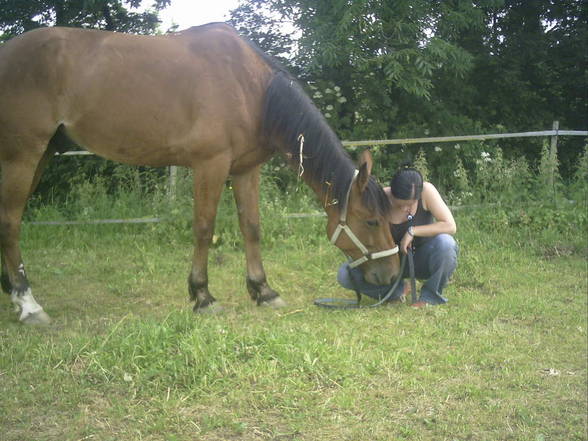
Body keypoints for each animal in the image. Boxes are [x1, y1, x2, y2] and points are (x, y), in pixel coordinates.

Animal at [0, 23, 402, 324]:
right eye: (372, 221)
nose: (391, 276)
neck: (250, 87)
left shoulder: (246, 169)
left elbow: (251, 227)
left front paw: (263, 290)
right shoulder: (210, 165)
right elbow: (204, 228)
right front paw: (203, 296)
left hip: (42, 154)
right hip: (22, 154)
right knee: (11, 222)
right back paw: (29, 305)